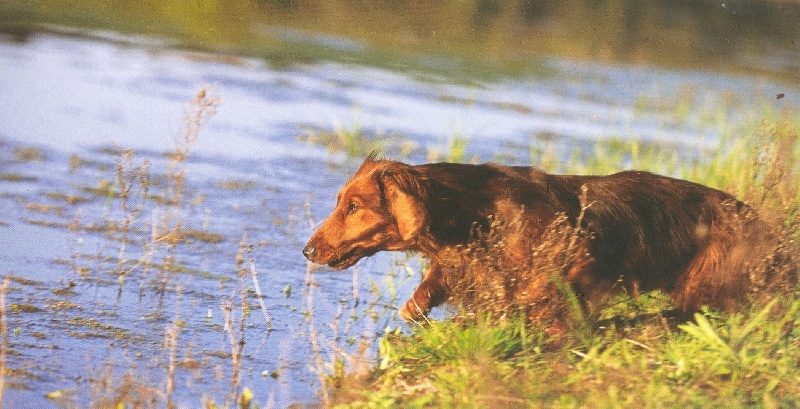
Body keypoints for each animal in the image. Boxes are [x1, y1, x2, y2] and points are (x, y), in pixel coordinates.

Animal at [302, 153, 776, 328]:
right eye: (340, 202)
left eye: (354, 207)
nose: (307, 250)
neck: (476, 209)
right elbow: (436, 284)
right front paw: (416, 309)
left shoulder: (581, 255)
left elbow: (540, 294)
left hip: (704, 281)